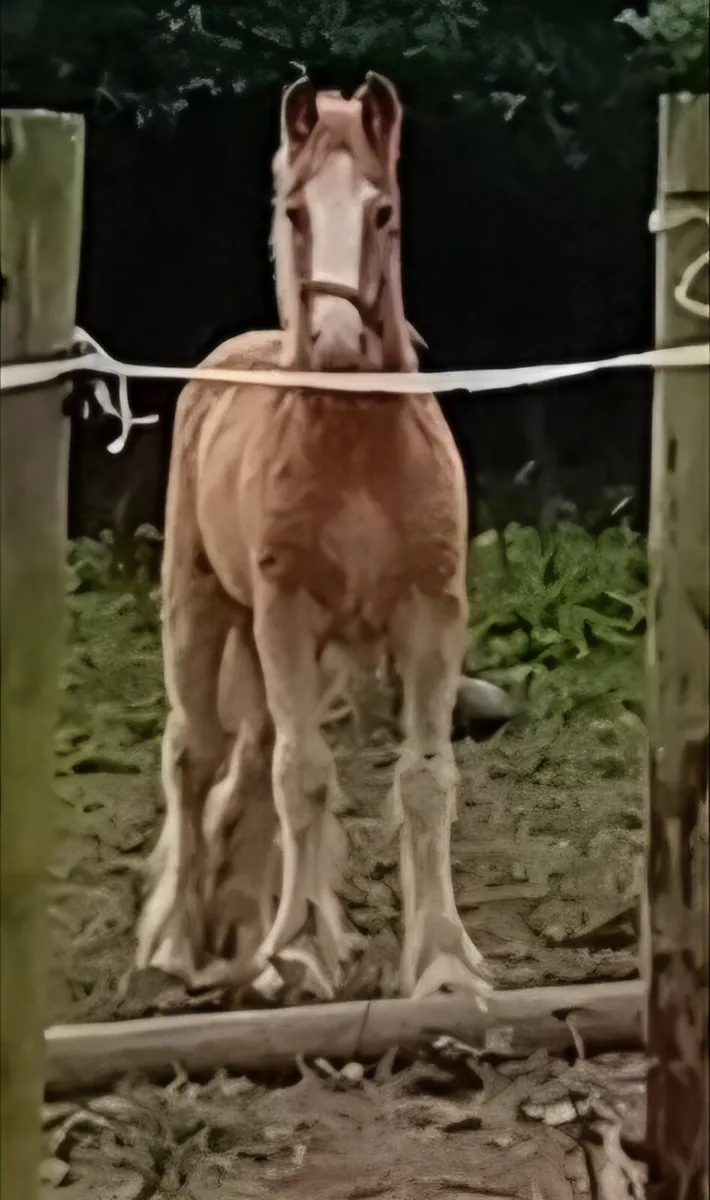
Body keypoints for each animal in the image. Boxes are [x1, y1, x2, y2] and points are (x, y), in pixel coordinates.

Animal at [135, 73, 490, 1004]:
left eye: (383, 210)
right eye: (294, 211)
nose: (333, 343)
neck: (358, 451)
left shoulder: (431, 615)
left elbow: (423, 778)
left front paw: (444, 961)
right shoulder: (286, 615)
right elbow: (304, 777)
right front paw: (292, 955)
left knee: (254, 757)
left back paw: (246, 930)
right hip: (203, 611)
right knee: (197, 754)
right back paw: (181, 947)